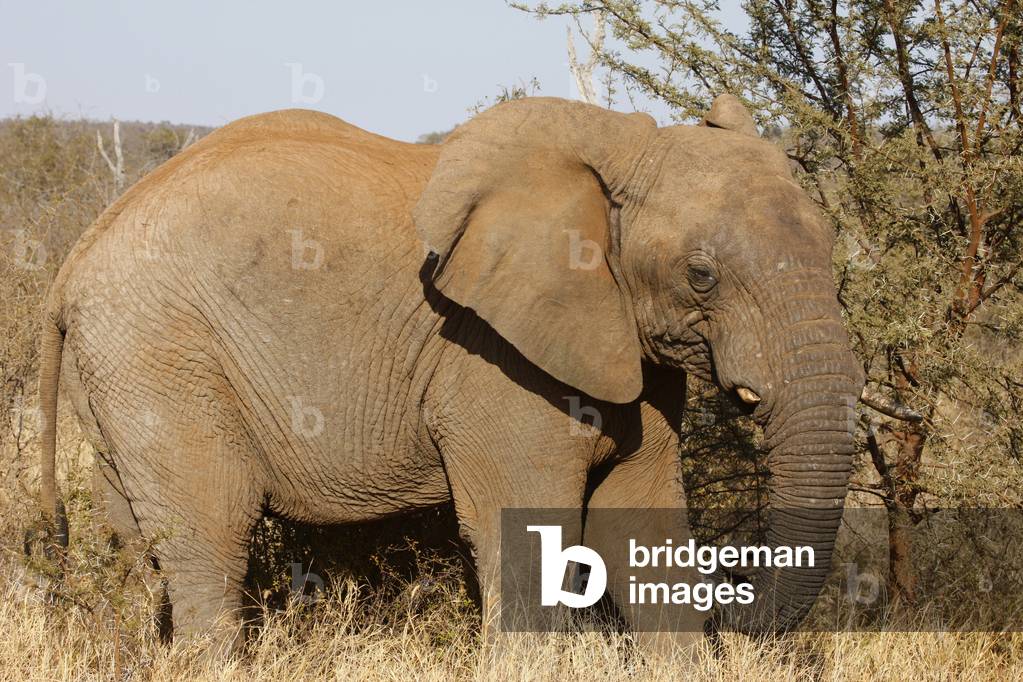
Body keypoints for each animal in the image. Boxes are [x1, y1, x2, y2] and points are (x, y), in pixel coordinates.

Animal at [36, 94, 864, 656]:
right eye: (700, 275)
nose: (736, 603)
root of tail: (75, 259)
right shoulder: (494, 360)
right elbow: (531, 532)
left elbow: (639, 526)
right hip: (160, 354)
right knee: (210, 536)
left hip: (121, 370)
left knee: (141, 550)